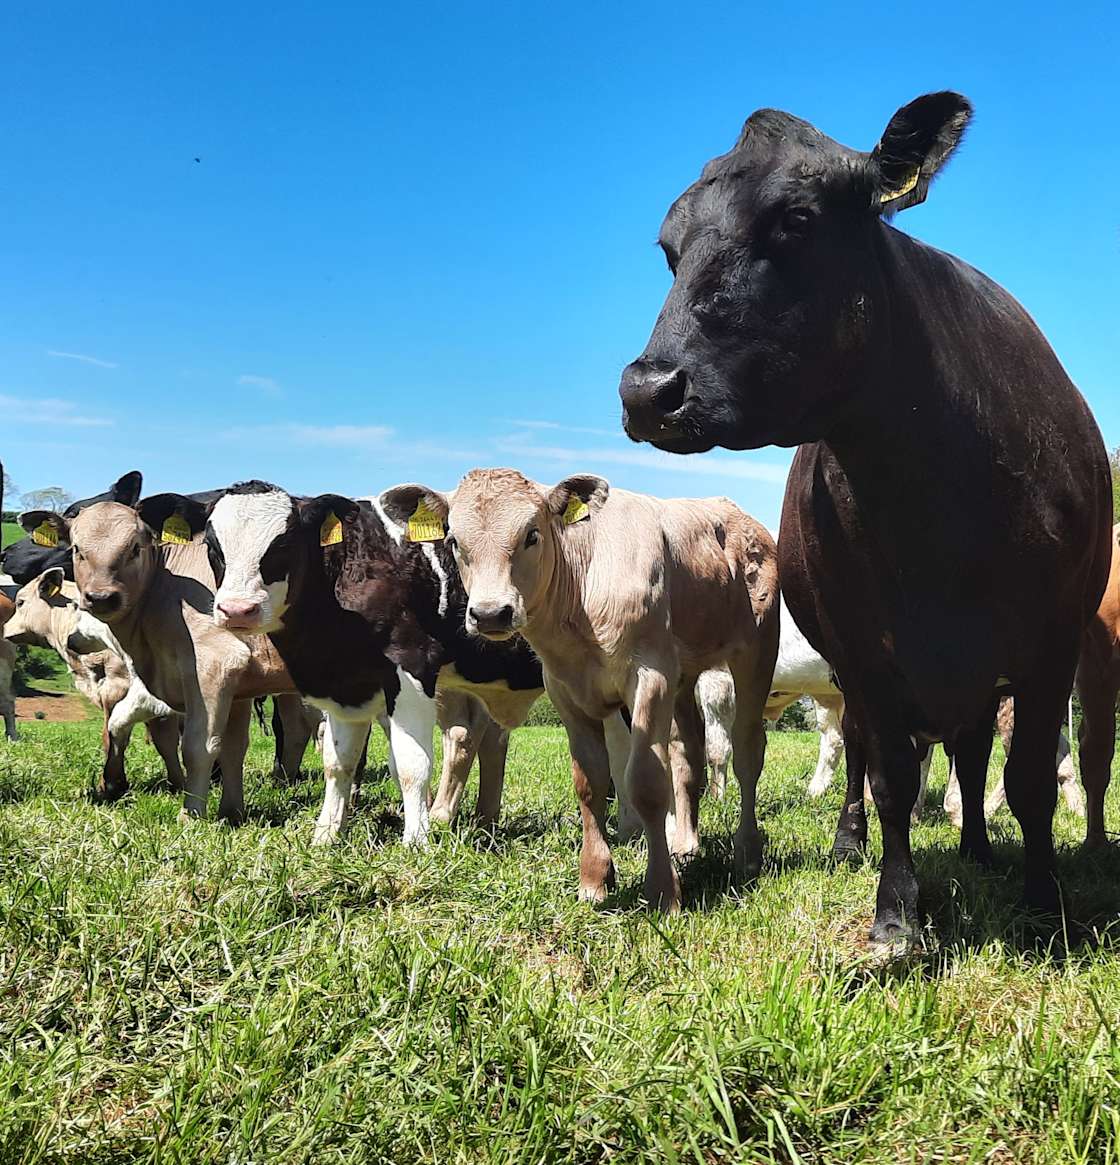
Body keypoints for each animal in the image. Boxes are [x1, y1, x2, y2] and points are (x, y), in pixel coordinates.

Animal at [34, 498, 294, 820]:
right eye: (77, 549)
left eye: (135, 547)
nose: (102, 597)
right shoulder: (240, 688)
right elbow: (233, 750)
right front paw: (231, 814)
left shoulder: (215, 665)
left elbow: (199, 747)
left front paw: (190, 815)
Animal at [384, 470, 778, 908]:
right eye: (454, 540)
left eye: (532, 534)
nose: (489, 613)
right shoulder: (566, 691)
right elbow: (590, 782)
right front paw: (594, 879)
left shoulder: (650, 676)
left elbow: (645, 782)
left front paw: (663, 891)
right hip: (684, 675)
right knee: (687, 756)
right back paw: (686, 845)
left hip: (757, 653)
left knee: (747, 752)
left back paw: (747, 852)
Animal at [620, 93, 1109, 945]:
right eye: (669, 248)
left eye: (796, 220)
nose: (648, 389)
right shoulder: (864, 648)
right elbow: (889, 778)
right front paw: (895, 914)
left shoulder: (1053, 639)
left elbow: (1028, 780)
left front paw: (1042, 898)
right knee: (858, 752)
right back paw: (853, 839)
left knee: (972, 754)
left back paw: (979, 847)